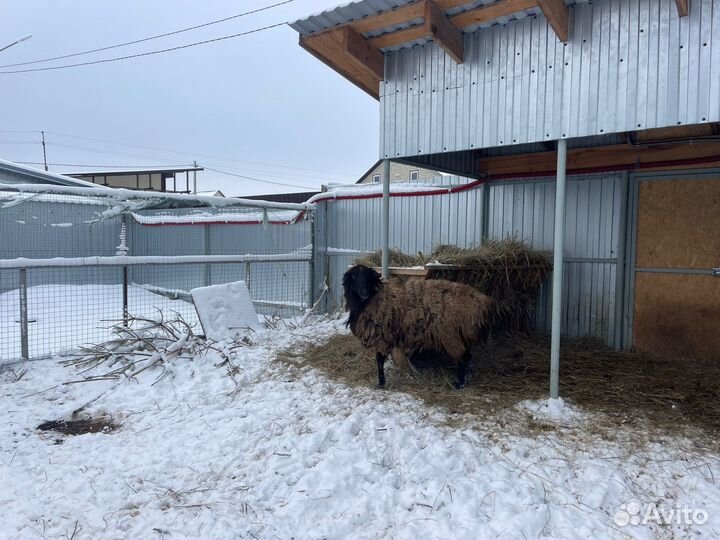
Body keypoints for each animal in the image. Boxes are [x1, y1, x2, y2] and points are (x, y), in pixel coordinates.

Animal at [344, 264, 496, 388]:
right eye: (353, 276)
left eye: (367, 275)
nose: (364, 292)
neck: (375, 298)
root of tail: (483, 302)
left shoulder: (382, 336)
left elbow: (379, 360)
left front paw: (381, 383)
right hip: (461, 334)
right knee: (468, 356)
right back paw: (466, 377)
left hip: (451, 335)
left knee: (463, 358)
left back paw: (459, 384)